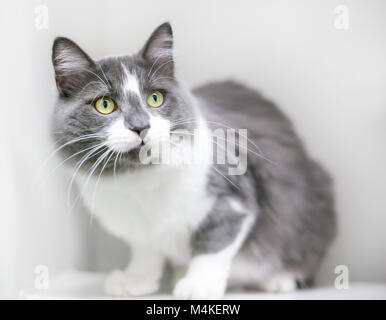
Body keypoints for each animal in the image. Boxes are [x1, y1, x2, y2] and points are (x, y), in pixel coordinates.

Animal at [50, 23, 334, 300]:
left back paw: (279, 279)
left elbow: (213, 246)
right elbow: (145, 251)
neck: (141, 181)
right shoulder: (139, 229)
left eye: (155, 98)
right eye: (105, 104)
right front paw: (136, 279)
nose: (140, 126)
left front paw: (199, 285)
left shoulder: (231, 201)